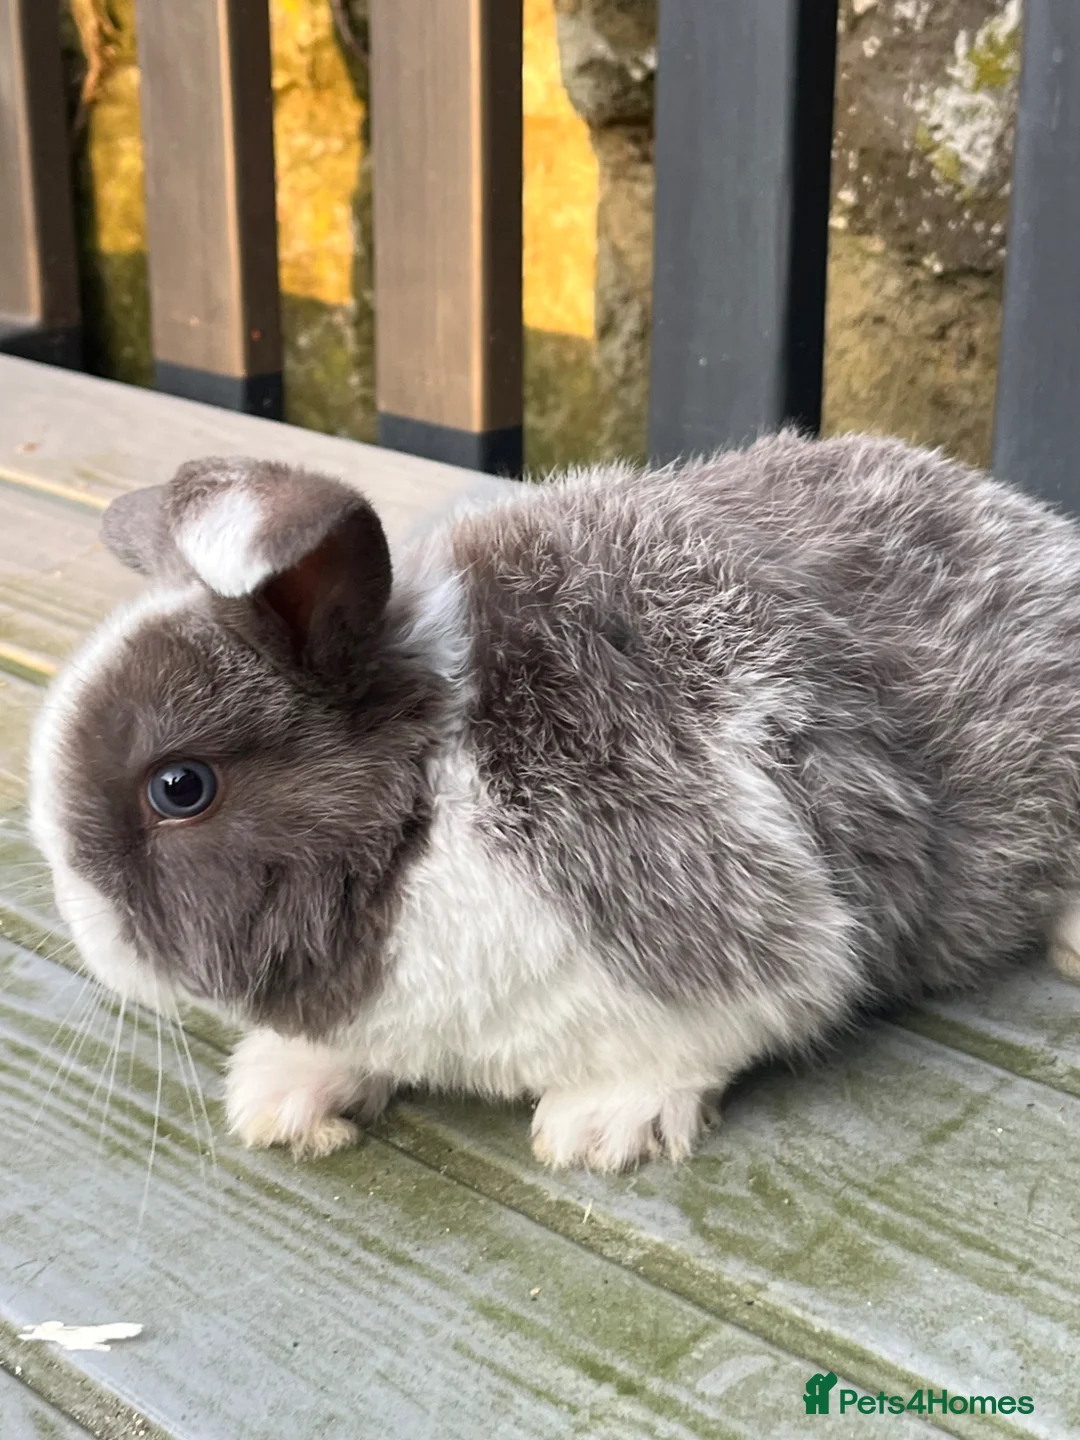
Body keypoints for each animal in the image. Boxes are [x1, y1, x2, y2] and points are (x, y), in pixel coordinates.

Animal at [27, 431, 1080, 1172]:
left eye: (181, 787)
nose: (84, 926)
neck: (430, 806)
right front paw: (284, 1096)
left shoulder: (740, 919)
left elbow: (716, 1032)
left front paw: (603, 1127)